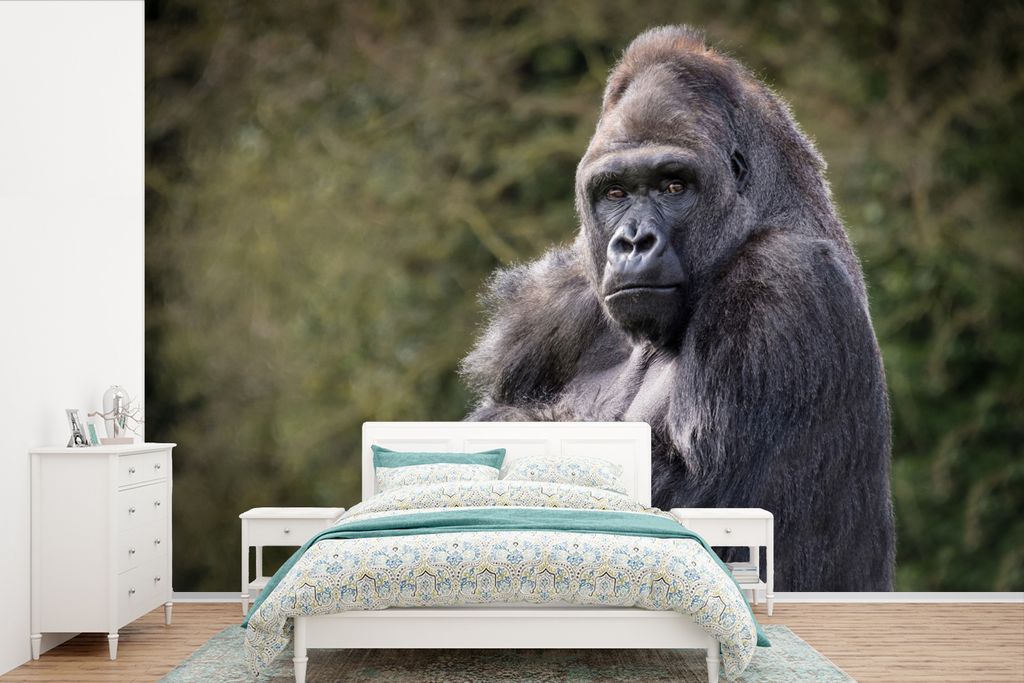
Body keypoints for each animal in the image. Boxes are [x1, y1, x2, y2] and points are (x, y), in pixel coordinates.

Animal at [461, 26, 895, 591]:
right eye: (615, 192)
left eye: (674, 185)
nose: (633, 242)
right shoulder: (549, 304)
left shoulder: (782, 282)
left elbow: (690, 498)